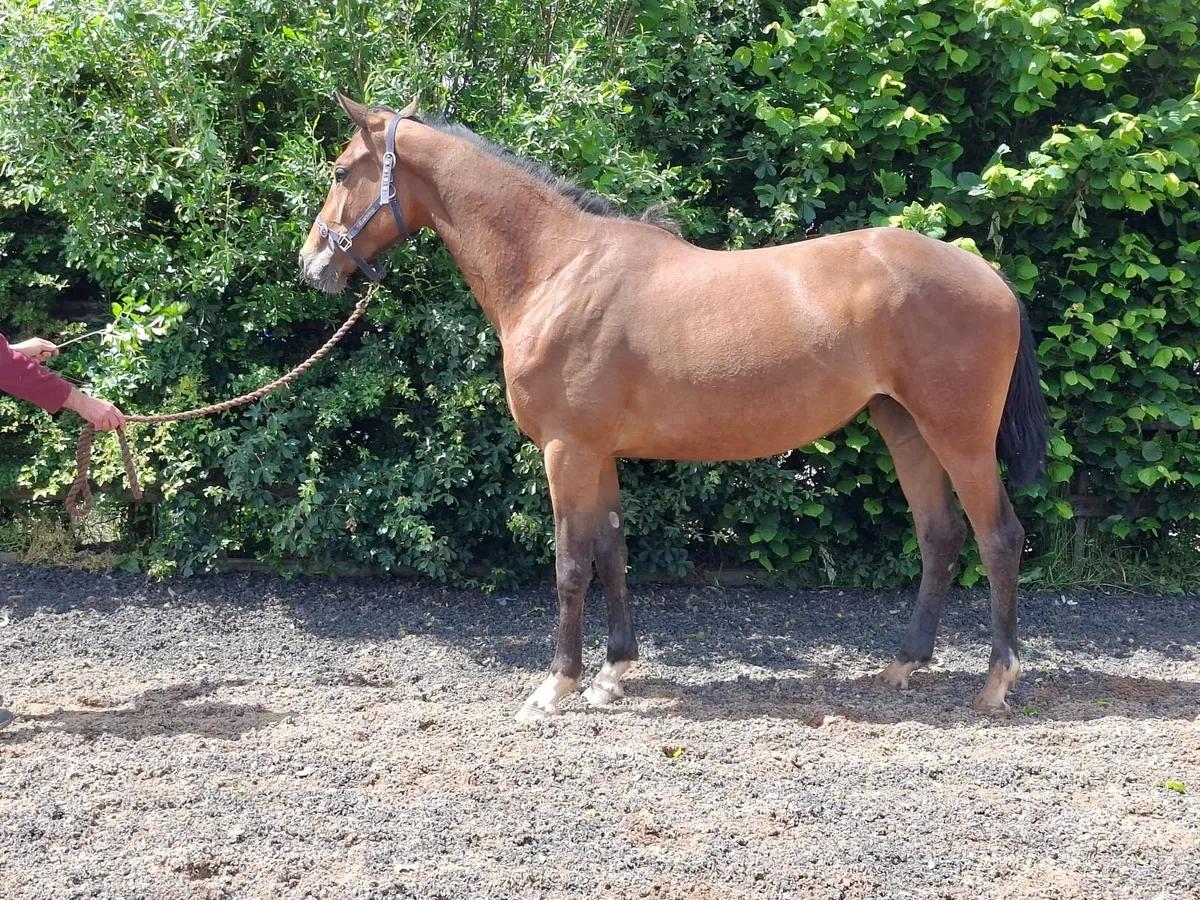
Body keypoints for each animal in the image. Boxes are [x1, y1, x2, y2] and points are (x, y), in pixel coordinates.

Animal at [299, 93, 1049, 721]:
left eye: (340, 172)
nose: (312, 265)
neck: (556, 270)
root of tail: (987, 275)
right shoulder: (597, 453)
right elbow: (612, 552)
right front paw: (612, 676)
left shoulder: (567, 450)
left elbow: (570, 564)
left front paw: (556, 686)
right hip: (905, 429)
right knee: (940, 535)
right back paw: (905, 665)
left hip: (959, 437)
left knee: (998, 537)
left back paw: (997, 680)